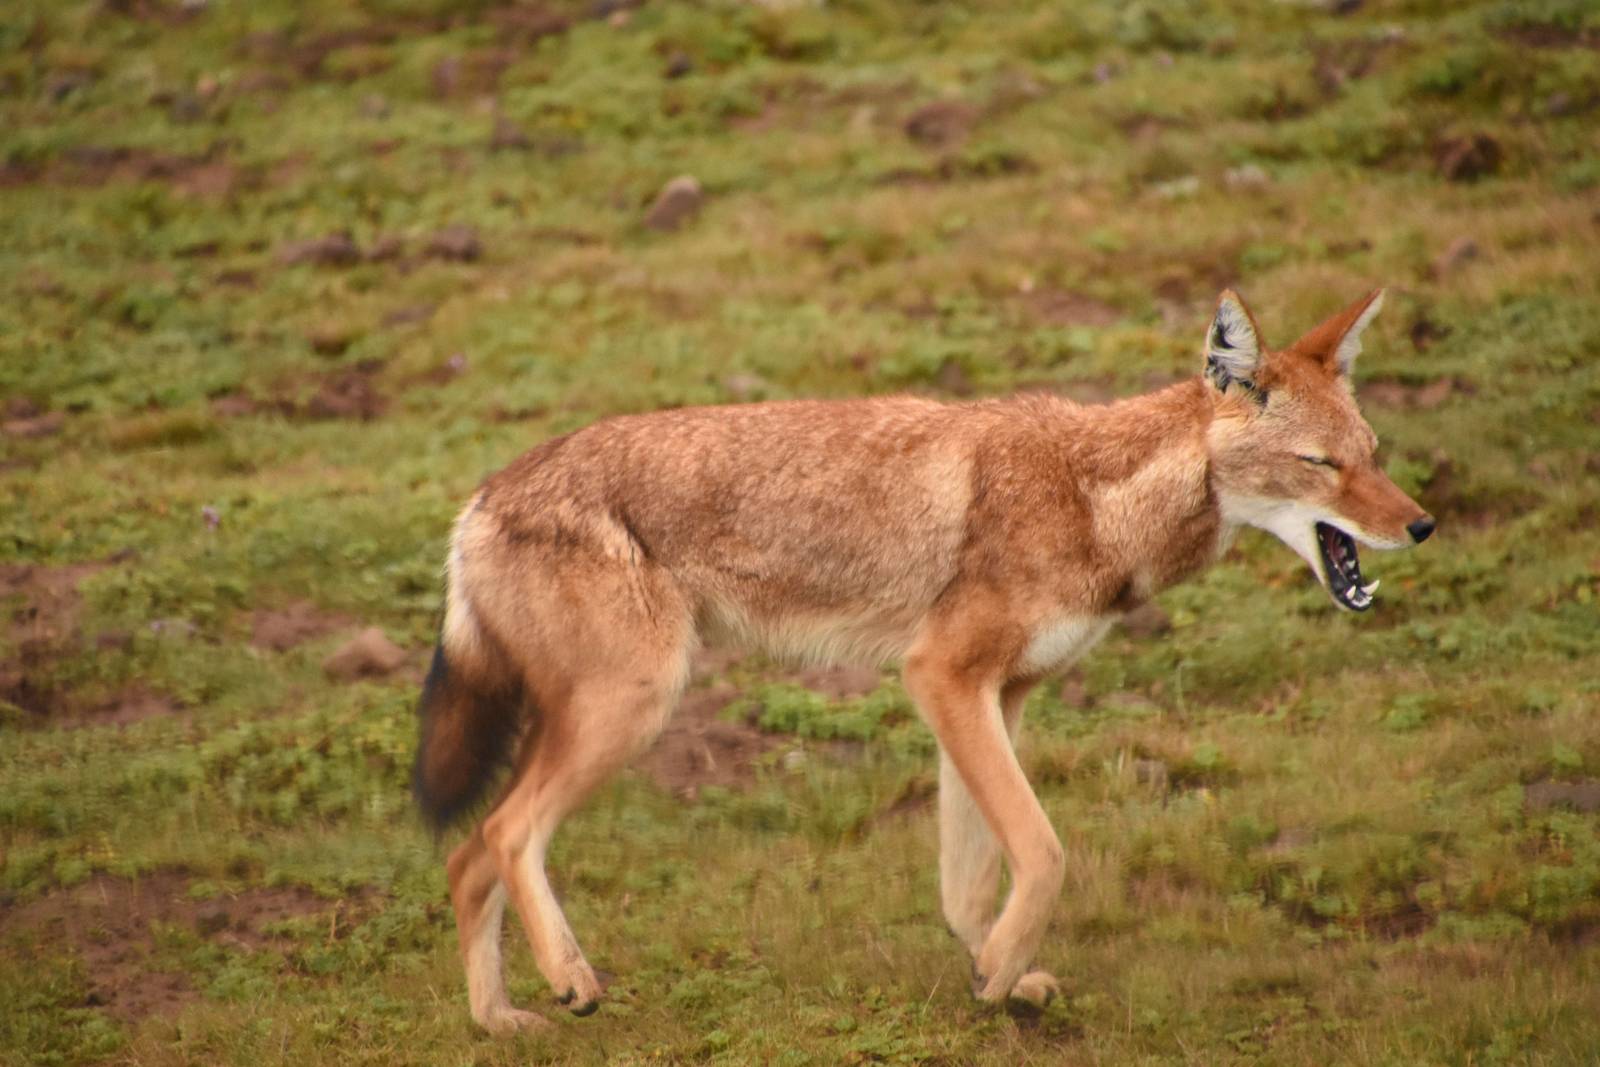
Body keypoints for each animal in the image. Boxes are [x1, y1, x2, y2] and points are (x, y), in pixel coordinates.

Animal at [412, 288, 1434, 1033]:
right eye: (1322, 464)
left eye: (1374, 453)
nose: (1423, 525)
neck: (1091, 496)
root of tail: (477, 500)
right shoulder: (942, 677)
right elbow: (1045, 850)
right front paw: (1004, 965)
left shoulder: (996, 695)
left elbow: (969, 875)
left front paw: (994, 970)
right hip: (635, 705)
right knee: (504, 832)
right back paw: (570, 980)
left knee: (466, 854)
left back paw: (498, 1022)